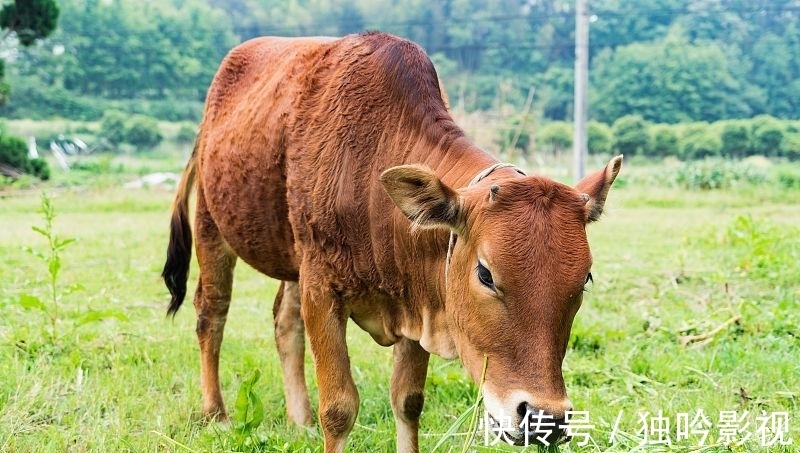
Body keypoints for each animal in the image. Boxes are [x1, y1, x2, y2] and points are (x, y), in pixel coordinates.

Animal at [162, 30, 620, 450]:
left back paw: (300, 418)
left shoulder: (420, 301)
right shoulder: (322, 289)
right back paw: (217, 413)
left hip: (293, 259)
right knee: (211, 314)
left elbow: (408, 400)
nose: (546, 418)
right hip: (213, 226)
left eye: (584, 280)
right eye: (486, 275)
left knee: (285, 322)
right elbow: (339, 408)